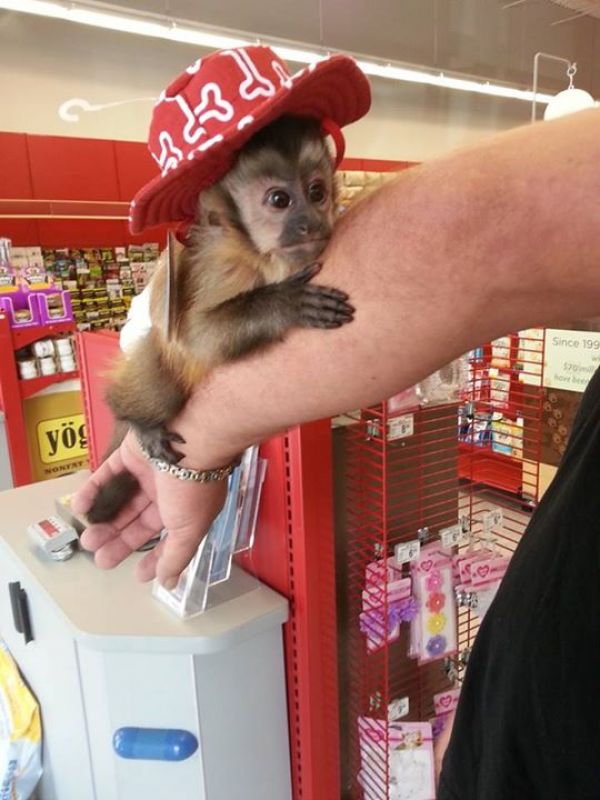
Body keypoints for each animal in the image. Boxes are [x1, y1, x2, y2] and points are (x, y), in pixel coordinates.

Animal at [86, 115, 355, 524]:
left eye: (317, 192)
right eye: (280, 200)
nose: (311, 222)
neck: (261, 256)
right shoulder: (224, 265)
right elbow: (196, 338)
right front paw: (284, 303)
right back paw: (136, 418)